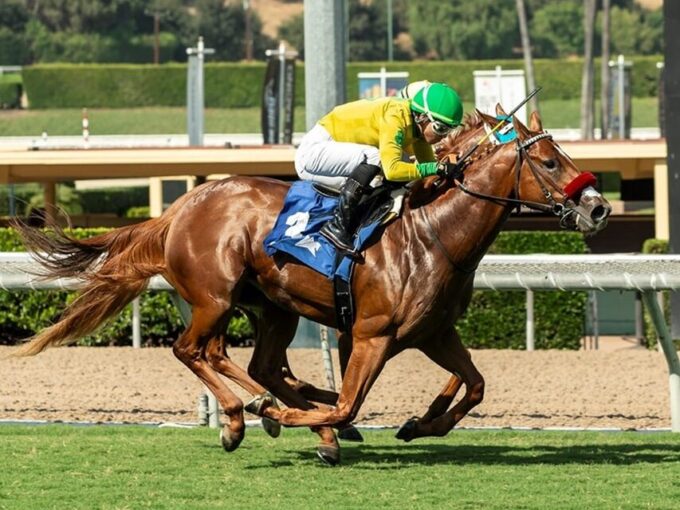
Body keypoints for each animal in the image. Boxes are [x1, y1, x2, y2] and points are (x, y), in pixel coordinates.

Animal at [13, 109, 612, 464]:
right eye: (550, 160)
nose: (598, 207)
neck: (432, 234)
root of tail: (180, 207)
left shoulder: (434, 332)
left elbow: (476, 384)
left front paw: (418, 424)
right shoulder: (368, 335)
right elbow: (348, 403)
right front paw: (299, 419)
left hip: (272, 307)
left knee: (255, 364)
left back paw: (271, 411)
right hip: (214, 296)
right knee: (194, 351)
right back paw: (247, 417)